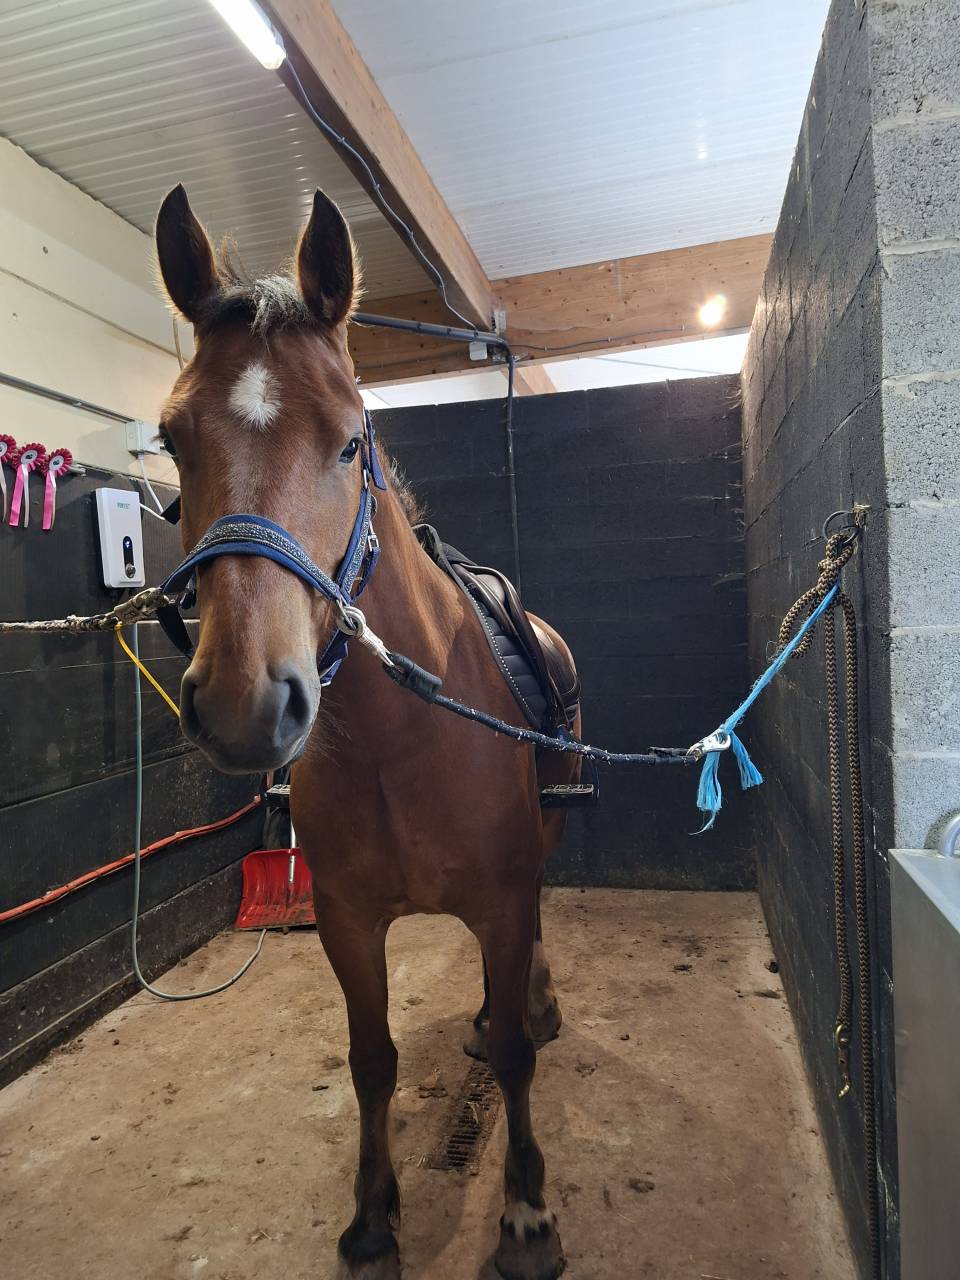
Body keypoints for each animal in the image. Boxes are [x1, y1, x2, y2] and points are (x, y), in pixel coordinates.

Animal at [154, 183, 581, 1280]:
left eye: (352, 441)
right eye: (171, 440)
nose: (246, 702)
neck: (403, 737)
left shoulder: (504, 898)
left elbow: (514, 1052)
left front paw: (526, 1217)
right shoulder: (346, 921)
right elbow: (371, 1057)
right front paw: (373, 1218)